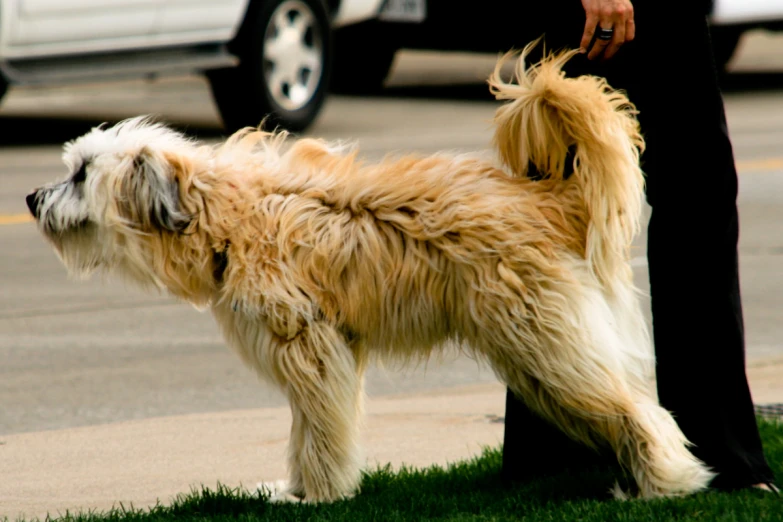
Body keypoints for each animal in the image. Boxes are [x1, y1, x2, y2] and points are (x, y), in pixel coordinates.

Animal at [26, 42, 716, 502]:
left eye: (80, 173)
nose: (31, 198)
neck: (225, 215)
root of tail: (546, 200)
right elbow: (310, 428)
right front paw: (297, 492)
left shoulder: (312, 347)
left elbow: (320, 427)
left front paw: (319, 496)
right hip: (537, 356)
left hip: (546, 343)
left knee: (637, 409)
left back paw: (670, 480)